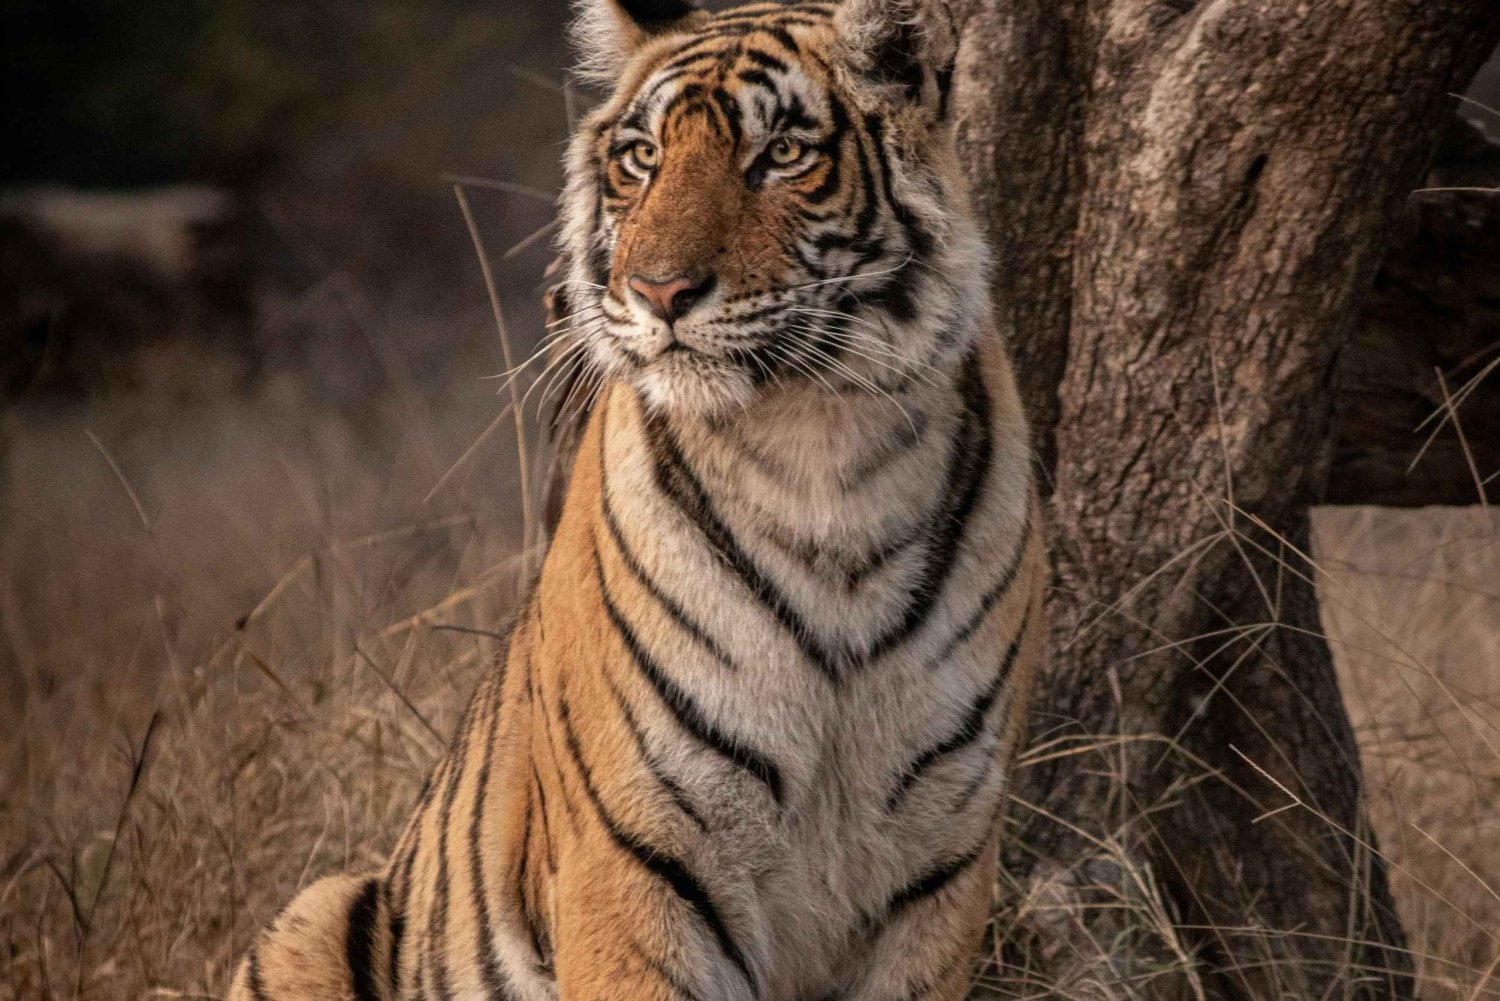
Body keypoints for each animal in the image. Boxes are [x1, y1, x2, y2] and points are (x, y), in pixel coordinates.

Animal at [229, 0, 1044, 998]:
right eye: (641, 158)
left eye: (781, 153)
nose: (658, 291)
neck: (820, 450)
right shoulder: (638, 852)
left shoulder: (938, 861)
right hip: (312, 914)